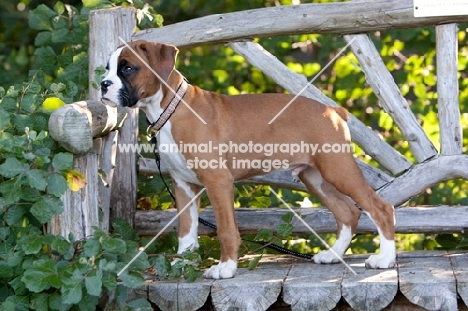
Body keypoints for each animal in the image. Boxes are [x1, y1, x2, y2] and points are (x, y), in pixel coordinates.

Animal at [99, 39, 394, 280]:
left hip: (337, 168)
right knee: (348, 211)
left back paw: (385, 259)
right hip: (315, 176)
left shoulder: (218, 181)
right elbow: (186, 230)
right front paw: (184, 263)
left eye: (128, 68)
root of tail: (333, 110)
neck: (172, 108)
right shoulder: (183, 186)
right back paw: (333, 255)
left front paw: (226, 268)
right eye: (108, 68)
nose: (103, 85)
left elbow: (226, 229)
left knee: (380, 208)